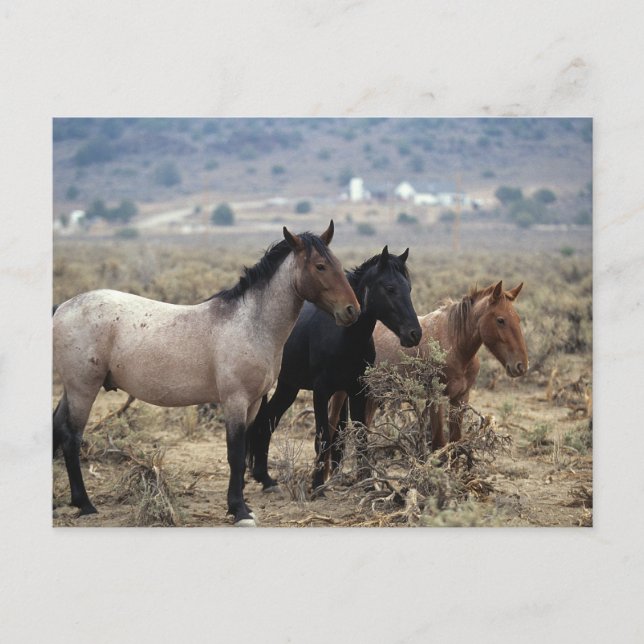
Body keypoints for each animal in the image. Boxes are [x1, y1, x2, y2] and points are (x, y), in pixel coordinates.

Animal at [52, 222, 360, 527]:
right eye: (320, 266)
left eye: (337, 263)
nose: (352, 310)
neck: (250, 324)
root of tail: (62, 308)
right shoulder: (235, 401)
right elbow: (235, 453)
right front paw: (239, 510)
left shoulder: (253, 403)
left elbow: (244, 450)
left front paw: (243, 505)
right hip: (83, 389)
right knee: (72, 438)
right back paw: (86, 504)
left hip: (73, 390)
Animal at [246, 246, 422, 494]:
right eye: (390, 288)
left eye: (409, 288)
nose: (414, 334)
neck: (343, 336)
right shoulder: (321, 392)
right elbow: (323, 437)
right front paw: (317, 485)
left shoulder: (357, 391)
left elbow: (360, 436)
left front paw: (367, 484)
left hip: (288, 386)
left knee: (267, 420)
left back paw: (265, 478)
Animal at [328, 280, 529, 459]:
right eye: (500, 320)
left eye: (518, 319)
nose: (521, 366)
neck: (455, 344)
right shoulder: (436, 398)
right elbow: (439, 443)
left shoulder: (460, 399)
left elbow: (456, 443)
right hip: (342, 394)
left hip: (372, 395)